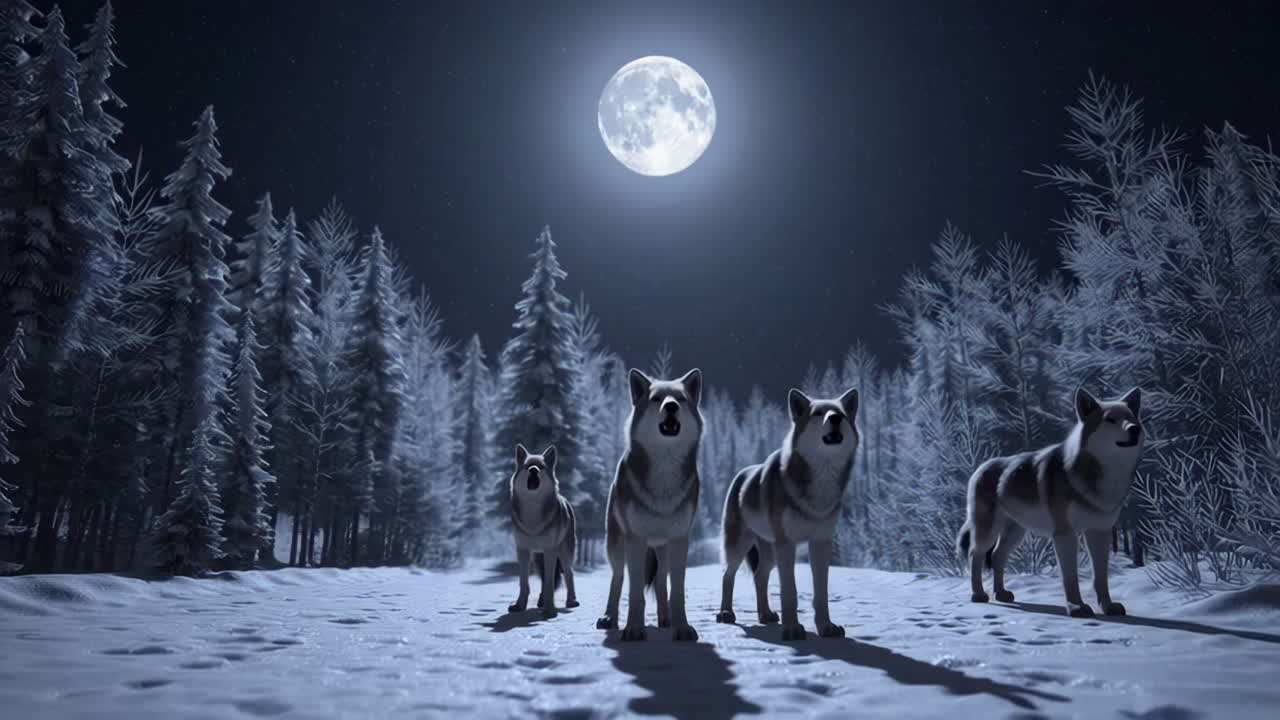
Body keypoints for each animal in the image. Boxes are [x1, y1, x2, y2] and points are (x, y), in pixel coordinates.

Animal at [507, 444, 579, 618]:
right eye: (527, 466)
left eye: (541, 467)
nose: (533, 470)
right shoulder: (523, 550)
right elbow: (524, 583)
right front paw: (519, 606)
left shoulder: (550, 549)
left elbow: (549, 584)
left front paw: (550, 610)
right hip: (539, 557)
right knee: (546, 578)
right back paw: (541, 601)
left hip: (564, 553)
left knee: (569, 574)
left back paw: (571, 601)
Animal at [595, 368, 704, 642]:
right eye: (656, 399)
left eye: (681, 398)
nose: (671, 406)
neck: (664, 475)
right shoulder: (636, 539)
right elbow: (634, 593)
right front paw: (634, 629)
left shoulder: (680, 540)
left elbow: (677, 593)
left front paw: (682, 628)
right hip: (617, 545)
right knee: (618, 578)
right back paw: (609, 618)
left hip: (662, 549)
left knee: (661, 581)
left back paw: (666, 619)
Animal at [718, 387, 859, 641]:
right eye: (818, 413)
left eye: (840, 414)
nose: (834, 418)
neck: (821, 483)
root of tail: (742, 474)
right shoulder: (787, 544)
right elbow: (789, 592)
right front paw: (793, 629)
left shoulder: (821, 543)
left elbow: (821, 594)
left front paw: (826, 627)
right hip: (740, 546)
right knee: (727, 576)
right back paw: (726, 613)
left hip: (769, 552)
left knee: (759, 576)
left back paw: (765, 615)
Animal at [956, 387, 1145, 618]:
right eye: (1111, 420)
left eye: (1131, 418)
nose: (1135, 429)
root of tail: (980, 467)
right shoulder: (1065, 535)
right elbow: (1070, 577)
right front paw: (1076, 607)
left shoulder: (1099, 532)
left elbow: (1100, 577)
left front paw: (1108, 607)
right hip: (988, 531)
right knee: (975, 554)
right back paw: (979, 595)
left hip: (1016, 533)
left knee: (998, 556)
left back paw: (1001, 594)